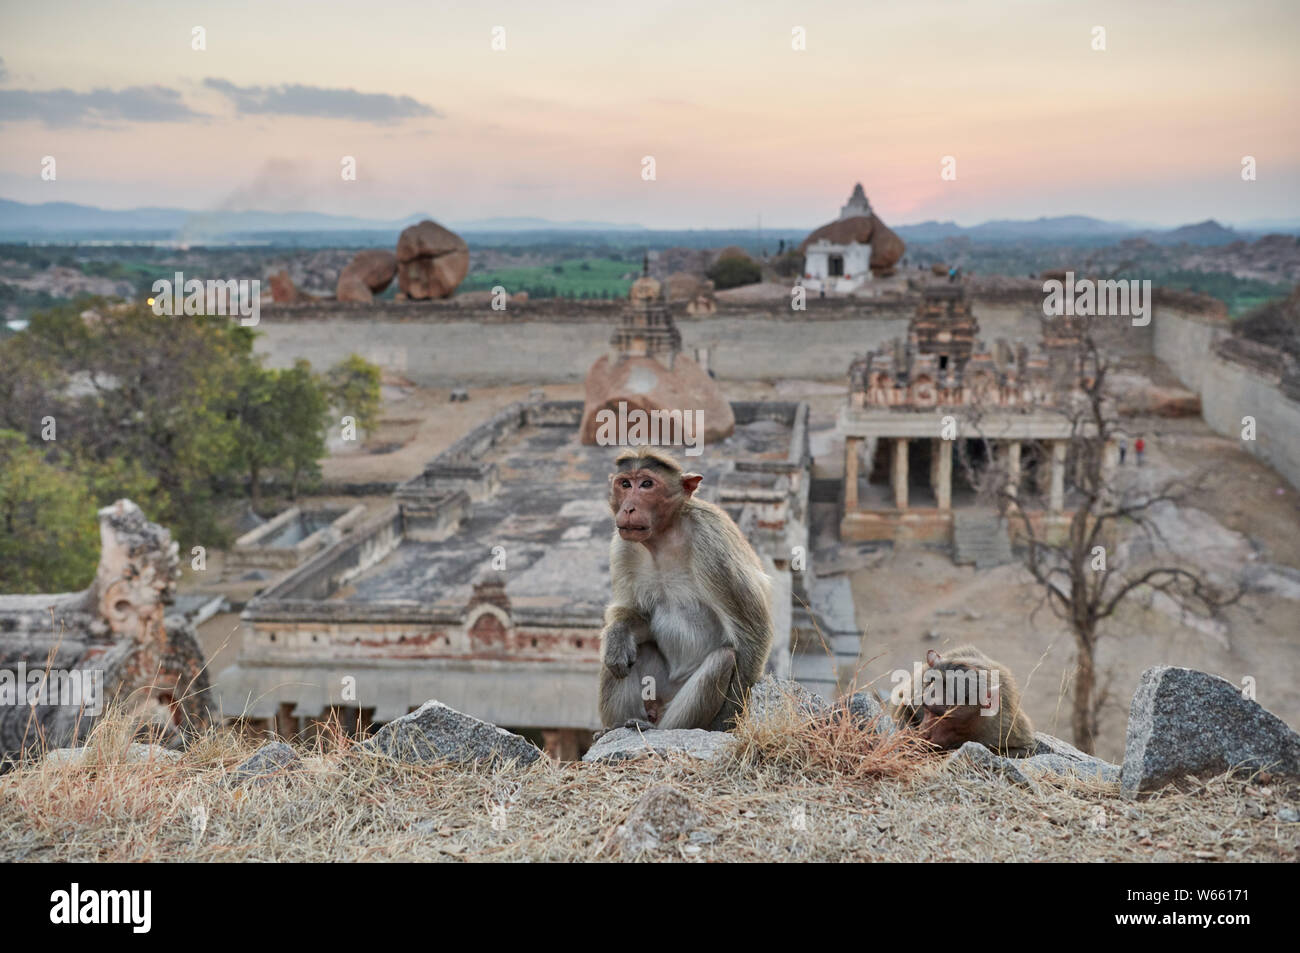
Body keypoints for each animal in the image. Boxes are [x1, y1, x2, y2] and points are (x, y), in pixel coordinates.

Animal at [598, 447, 769, 738]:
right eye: (625, 484)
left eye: (647, 484)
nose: (628, 507)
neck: (663, 537)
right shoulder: (622, 546)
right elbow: (633, 612)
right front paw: (618, 633)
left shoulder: (712, 544)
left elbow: (751, 635)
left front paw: (724, 727)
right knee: (631, 651)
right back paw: (617, 725)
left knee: (722, 659)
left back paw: (659, 729)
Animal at [894, 642, 1034, 754]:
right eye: (926, 708)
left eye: (946, 718)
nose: (925, 733)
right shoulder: (916, 692)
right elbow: (903, 704)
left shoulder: (1001, 727)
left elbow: (1024, 750)